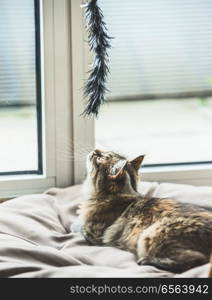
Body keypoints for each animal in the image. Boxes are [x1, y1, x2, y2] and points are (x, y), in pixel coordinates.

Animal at [78, 149, 212, 274]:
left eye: (101, 157)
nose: (96, 150)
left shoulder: (94, 234)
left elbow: (81, 229)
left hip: (152, 233)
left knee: (195, 261)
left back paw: (146, 261)